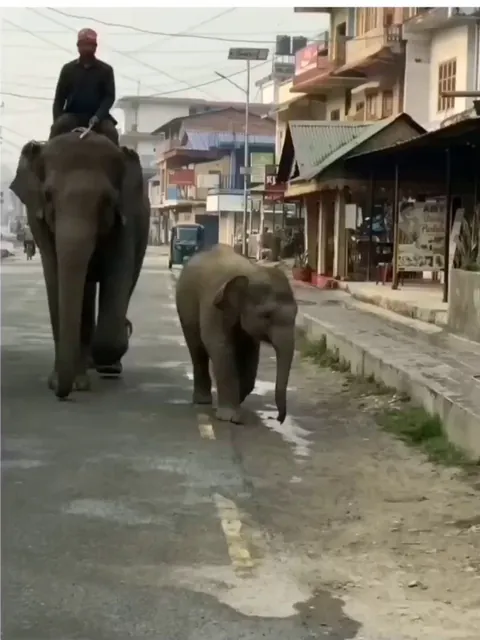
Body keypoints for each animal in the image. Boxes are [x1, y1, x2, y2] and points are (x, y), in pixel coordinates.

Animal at [9, 130, 151, 399]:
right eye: (48, 196)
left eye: (107, 201)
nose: (59, 393)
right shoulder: (39, 222)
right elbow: (55, 277)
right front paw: (63, 381)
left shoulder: (126, 220)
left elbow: (118, 275)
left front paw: (109, 352)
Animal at [175, 244, 298, 424]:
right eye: (267, 316)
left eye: (296, 314)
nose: (279, 419)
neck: (251, 271)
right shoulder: (213, 306)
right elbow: (220, 347)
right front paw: (230, 417)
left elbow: (250, 354)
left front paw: (237, 401)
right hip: (185, 306)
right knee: (197, 349)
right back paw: (203, 401)